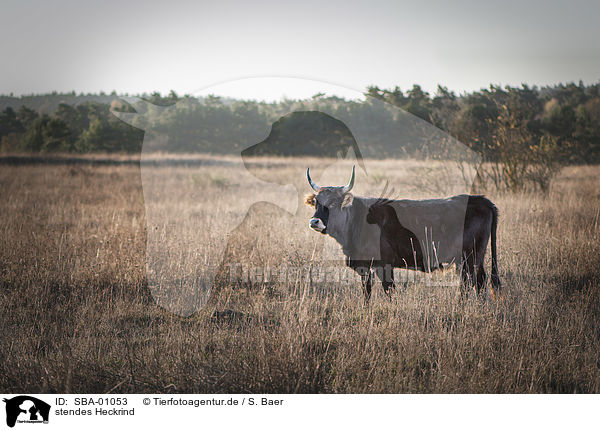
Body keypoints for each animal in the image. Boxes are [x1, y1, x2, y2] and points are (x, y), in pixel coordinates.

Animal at [308, 166, 500, 300]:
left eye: (333, 203)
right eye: (316, 202)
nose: (314, 221)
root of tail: (482, 200)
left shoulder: (384, 266)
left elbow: (389, 292)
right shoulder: (365, 267)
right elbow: (367, 294)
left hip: (469, 257)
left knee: (469, 284)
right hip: (475, 258)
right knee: (480, 282)